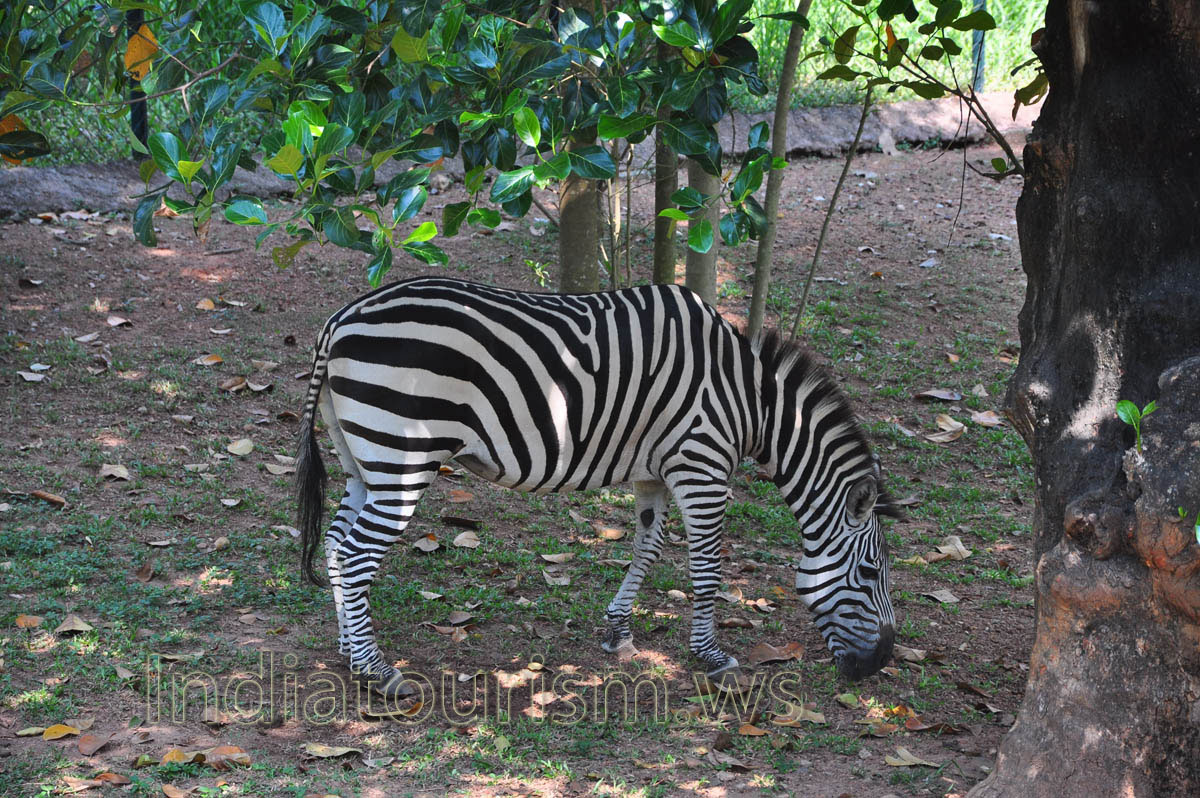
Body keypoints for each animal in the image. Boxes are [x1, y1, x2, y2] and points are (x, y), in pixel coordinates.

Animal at [296, 276, 899, 699]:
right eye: (870, 574)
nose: (881, 664)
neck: (749, 402)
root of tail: (339, 320)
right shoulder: (701, 465)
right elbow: (706, 567)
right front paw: (710, 655)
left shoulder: (654, 471)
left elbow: (647, 548)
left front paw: (618, 631)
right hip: (401, 458)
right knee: (355, 554)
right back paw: (378, 672)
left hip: (363, 462)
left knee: (336, 544)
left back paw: (350, 652)